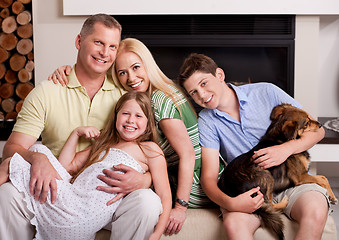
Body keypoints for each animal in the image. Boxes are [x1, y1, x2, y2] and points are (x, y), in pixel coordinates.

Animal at [218, 103, 338, 240]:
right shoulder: (300, 177)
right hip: (266, 175)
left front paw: (332, 196)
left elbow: (323, 178)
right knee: (270, 204)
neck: (281, 139)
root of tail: (229, 188)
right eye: (306, 123)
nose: (320, 124)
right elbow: (323, 178)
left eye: (309, 116)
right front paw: (333, 197)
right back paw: (284, 202)